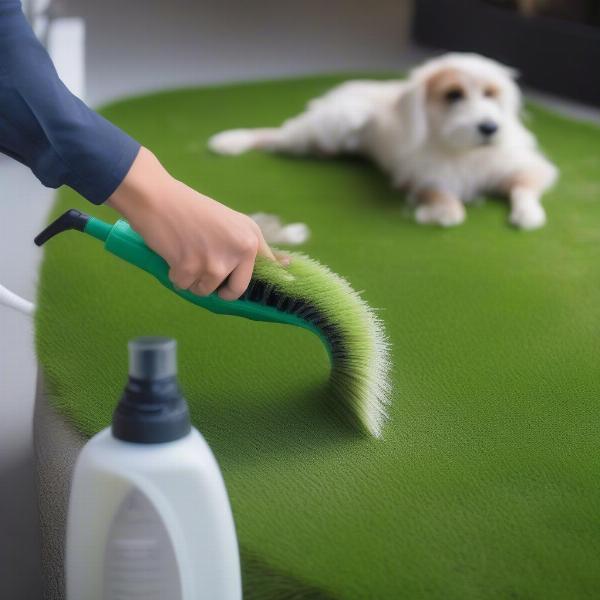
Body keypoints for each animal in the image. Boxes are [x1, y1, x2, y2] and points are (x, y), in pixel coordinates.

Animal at [210, 52, 556, 231]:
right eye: (453, 95)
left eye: (491, 94)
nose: (489, 127)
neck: (465, 151)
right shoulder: (419, 178)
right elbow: (446, 201)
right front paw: (444, 212)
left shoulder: (527, 169)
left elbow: (523, 189)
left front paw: (528, 214)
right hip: (333, 122)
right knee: (274, 135)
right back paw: (231, 141)